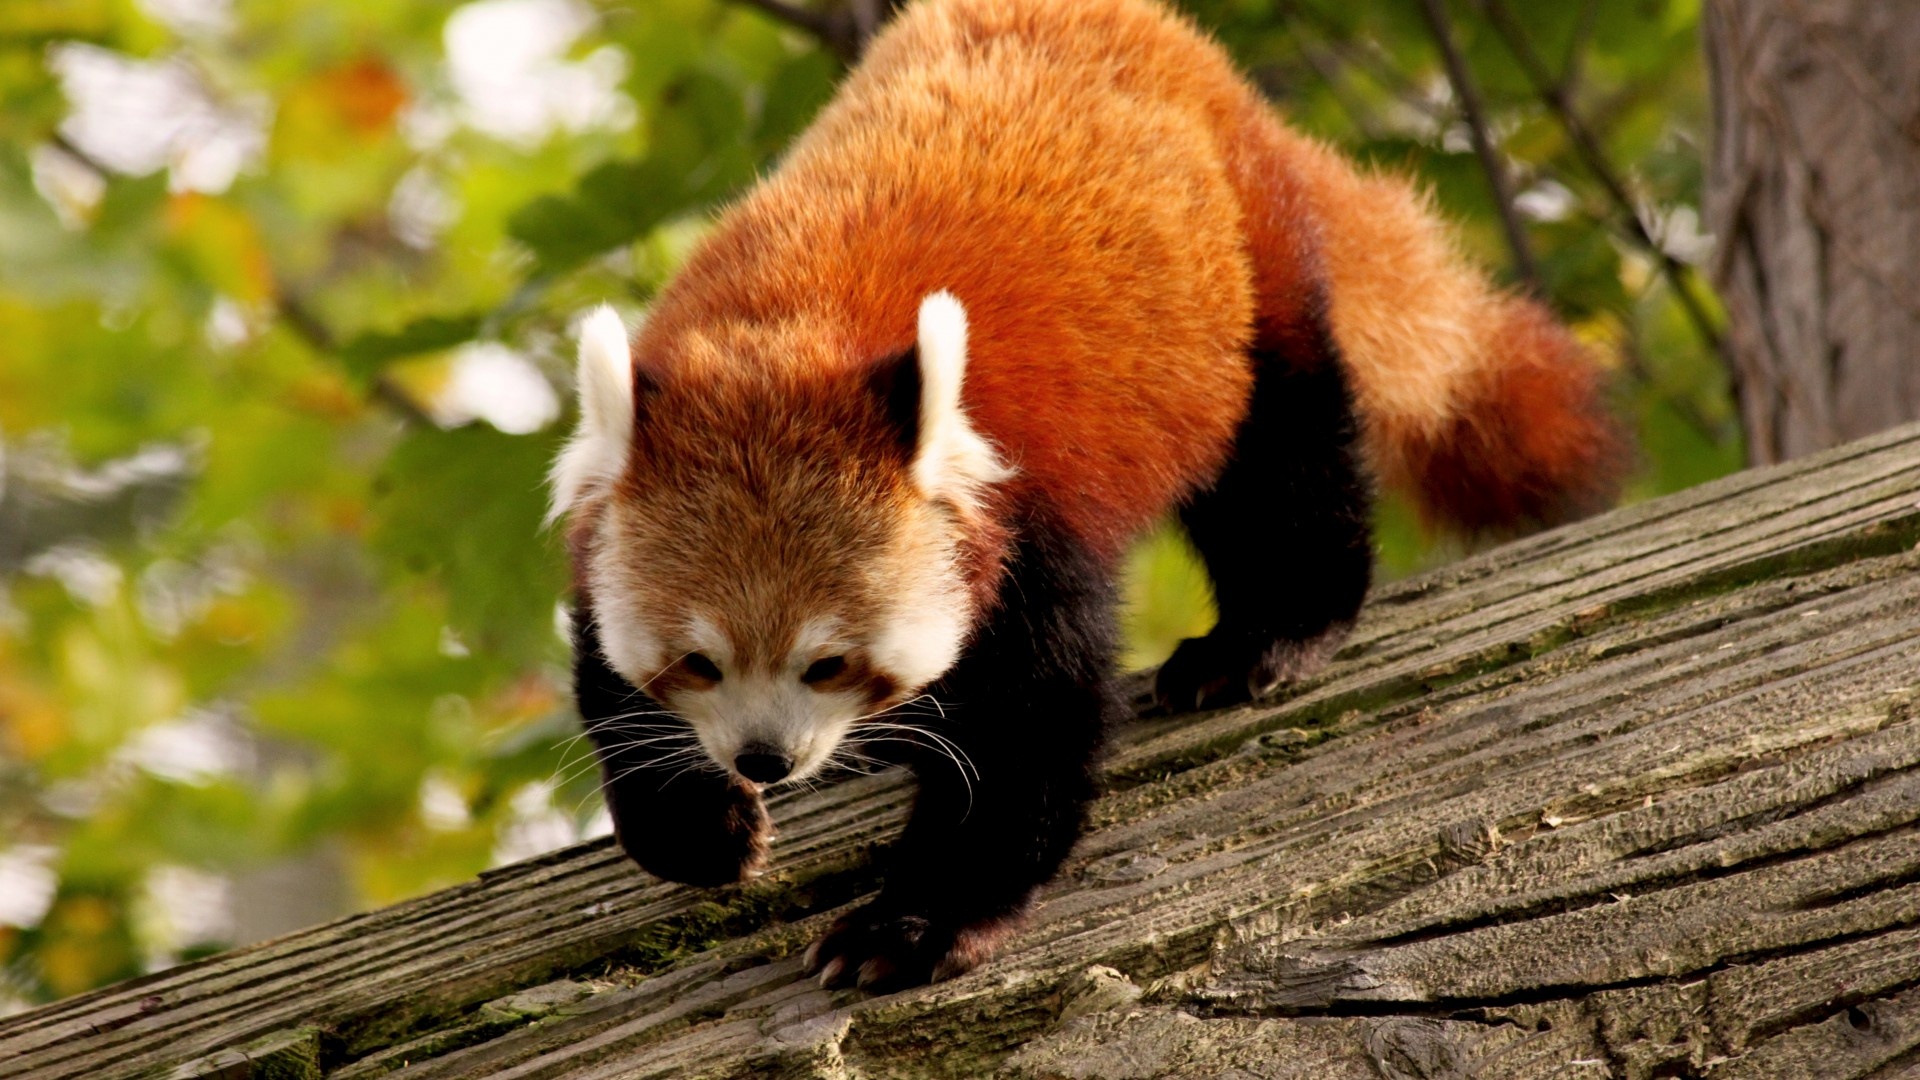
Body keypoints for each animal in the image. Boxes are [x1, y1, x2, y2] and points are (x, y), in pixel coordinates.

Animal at [545, 0, 1620, 991]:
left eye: (830, 663)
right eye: (699, 662)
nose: (765, 759)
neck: (784, 332)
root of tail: (1175, 44)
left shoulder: (1027, 521)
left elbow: (1028, 734)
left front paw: (915, 923)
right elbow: (610, 683)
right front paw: (697, 823)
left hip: (1243, 280)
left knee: (1284, 459)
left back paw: (1267, 635)